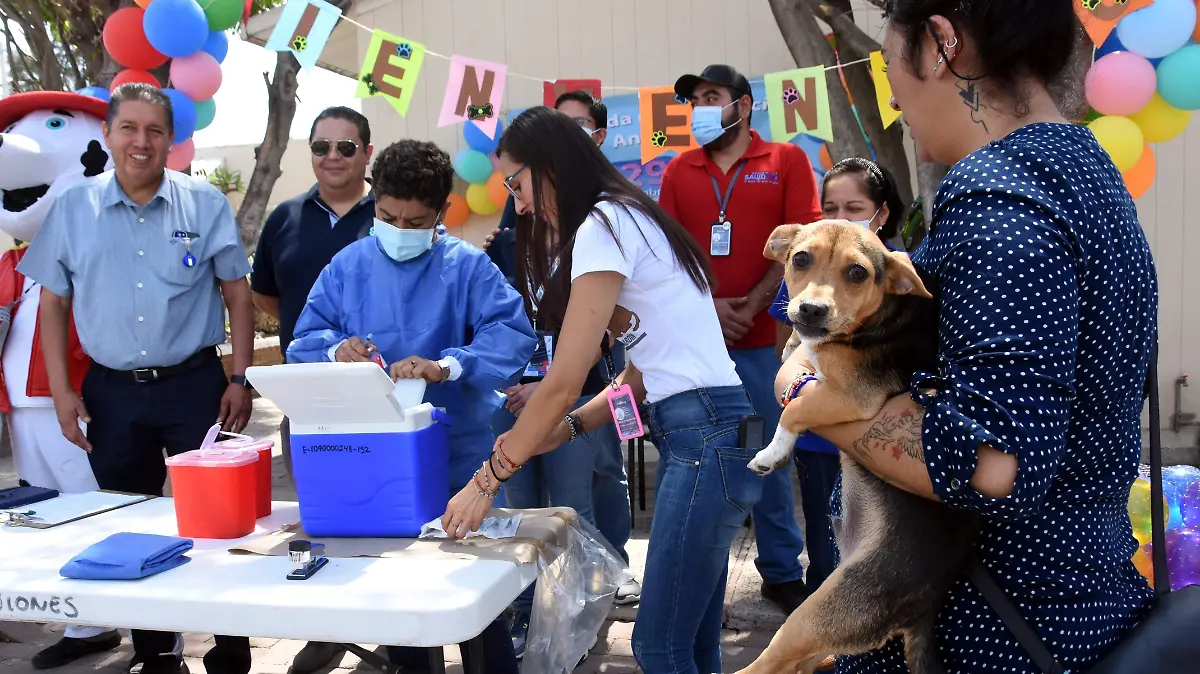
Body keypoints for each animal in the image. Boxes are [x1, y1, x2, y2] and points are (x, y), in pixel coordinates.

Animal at [739, 220, 984, 671]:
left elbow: (794, 409)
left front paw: (772, 454)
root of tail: (925, 607)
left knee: (769, 662)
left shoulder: (854, 398)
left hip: (817, 613)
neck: (882, 316)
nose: (811, 311)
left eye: (857, 273)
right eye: (800, 258)